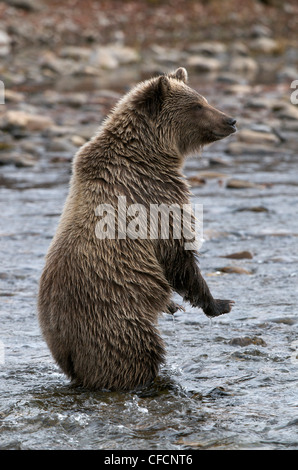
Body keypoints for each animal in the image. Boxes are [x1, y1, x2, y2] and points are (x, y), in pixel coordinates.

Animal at [37, 65, 237, 390]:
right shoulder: (154, 197)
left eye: (204, 99)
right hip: (117, 324)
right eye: (197, 105)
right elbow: (176, 250)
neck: (149, 154)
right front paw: (219, 303)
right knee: (137, 355)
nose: (231, 120)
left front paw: (178, 305)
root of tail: (68, 355)